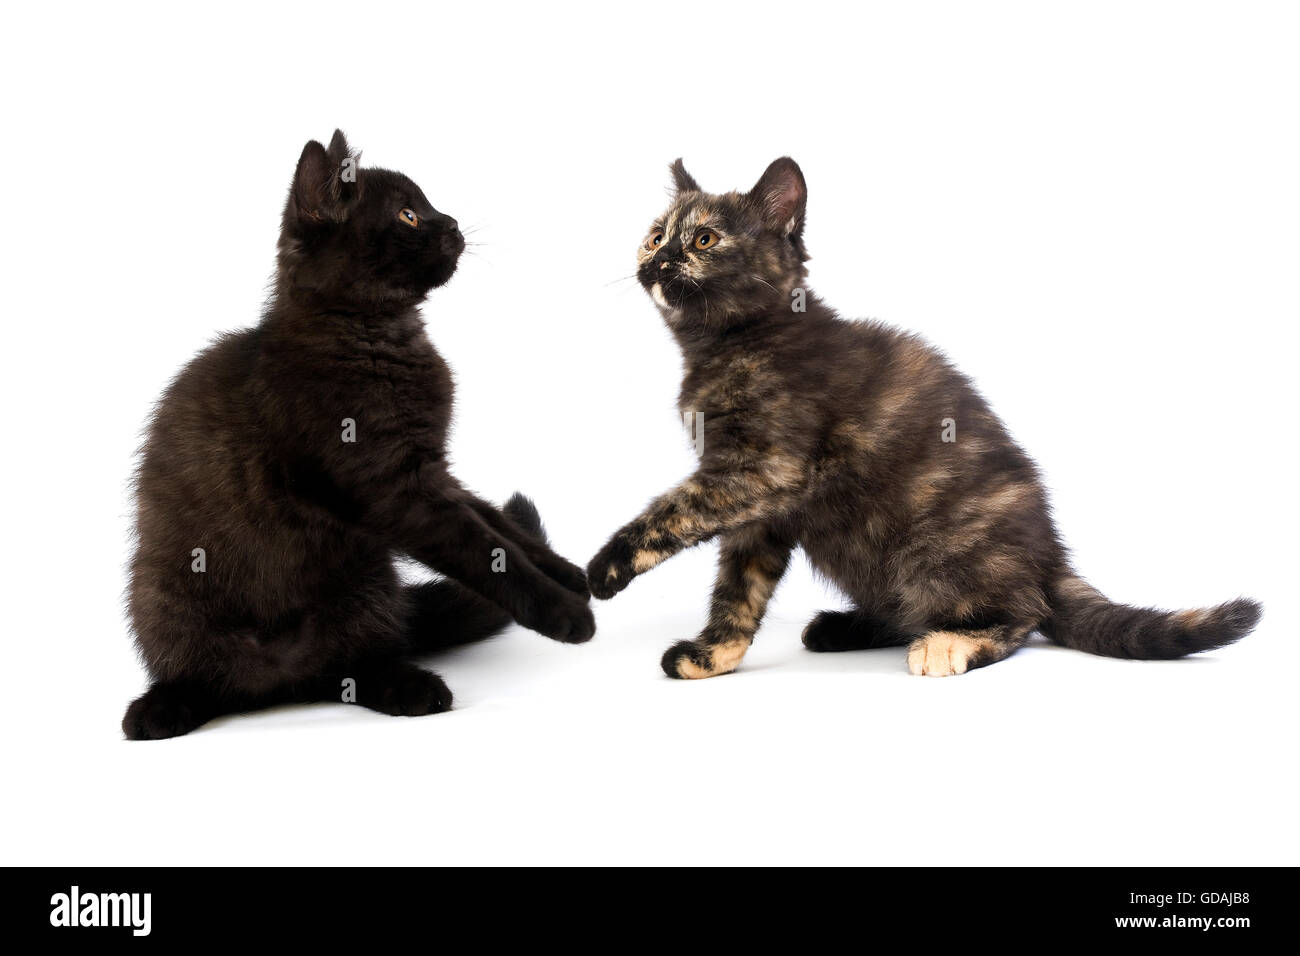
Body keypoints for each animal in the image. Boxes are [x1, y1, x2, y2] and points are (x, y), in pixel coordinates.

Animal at [124, 128, 592, 738]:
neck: (380, 334)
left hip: (366, 585)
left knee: (355, 664)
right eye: (409, 214)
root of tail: (278, 685)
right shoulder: (389, 488)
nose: (453, 223)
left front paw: (569, 573)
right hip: (162, 599)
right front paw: (565, 613)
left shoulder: (430, 471)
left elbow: (500, 526)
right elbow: (485, 548)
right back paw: (160, 709)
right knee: (204, 677)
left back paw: (408, 687)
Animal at [590, 158, 1258, 681]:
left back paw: (946, 644)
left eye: (704, 240)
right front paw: (713, 655)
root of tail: (1049, 555)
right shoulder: (758, 509)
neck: (732, 343)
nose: (658, 259)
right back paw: (845, 628)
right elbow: (738, 589)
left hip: (930, 550)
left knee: (1019, 615)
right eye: (656, 235)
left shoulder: (760, 473)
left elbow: (670, 514)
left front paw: (605, 567)